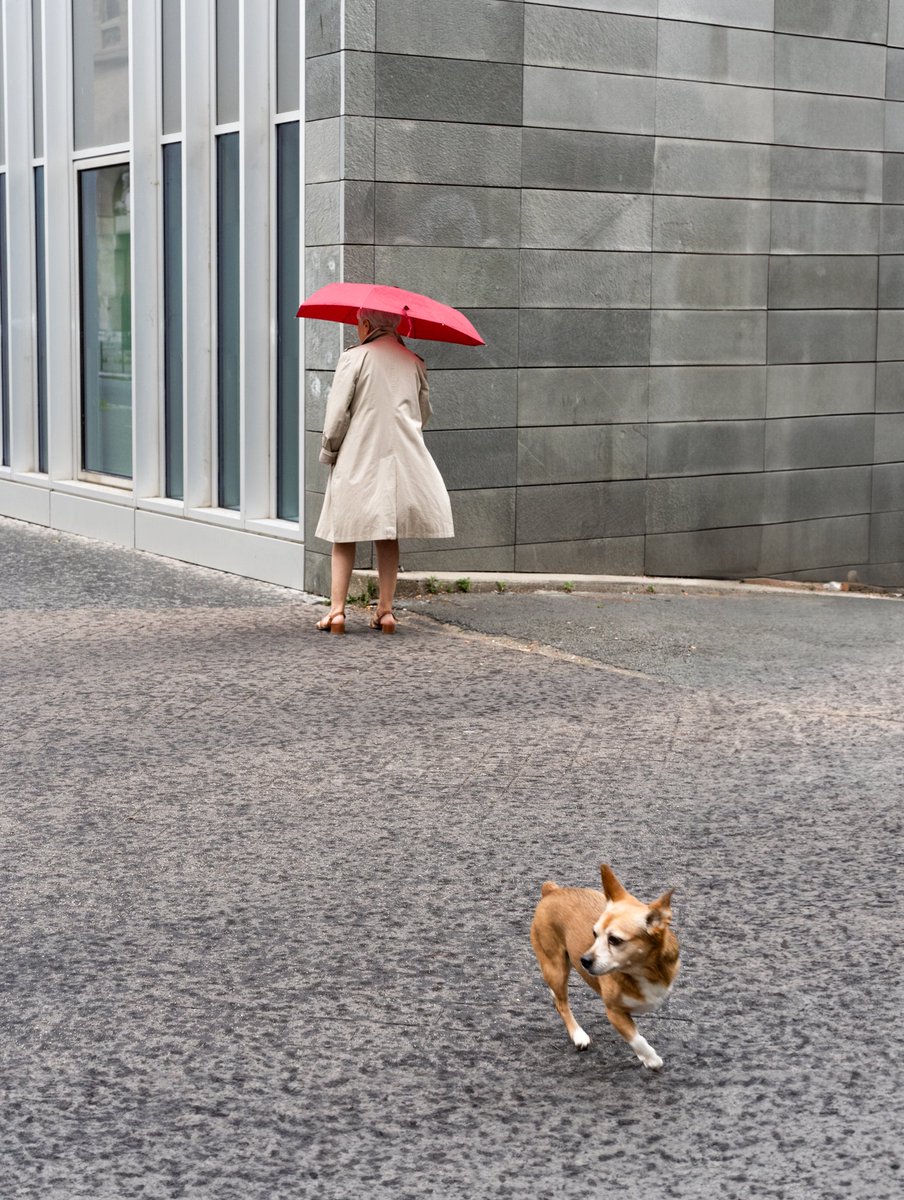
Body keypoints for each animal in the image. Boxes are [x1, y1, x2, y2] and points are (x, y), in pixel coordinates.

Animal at [528, 864, 677, 1070]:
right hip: (556, 968)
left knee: (556, 996)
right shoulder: (614, 1013)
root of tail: (552, 891)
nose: (584, 960)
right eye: (594, 934)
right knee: (561, 1003)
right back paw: (578, 1035)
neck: (644, 971)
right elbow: (636, 1039)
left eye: (615, 940)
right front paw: (651, 1059)